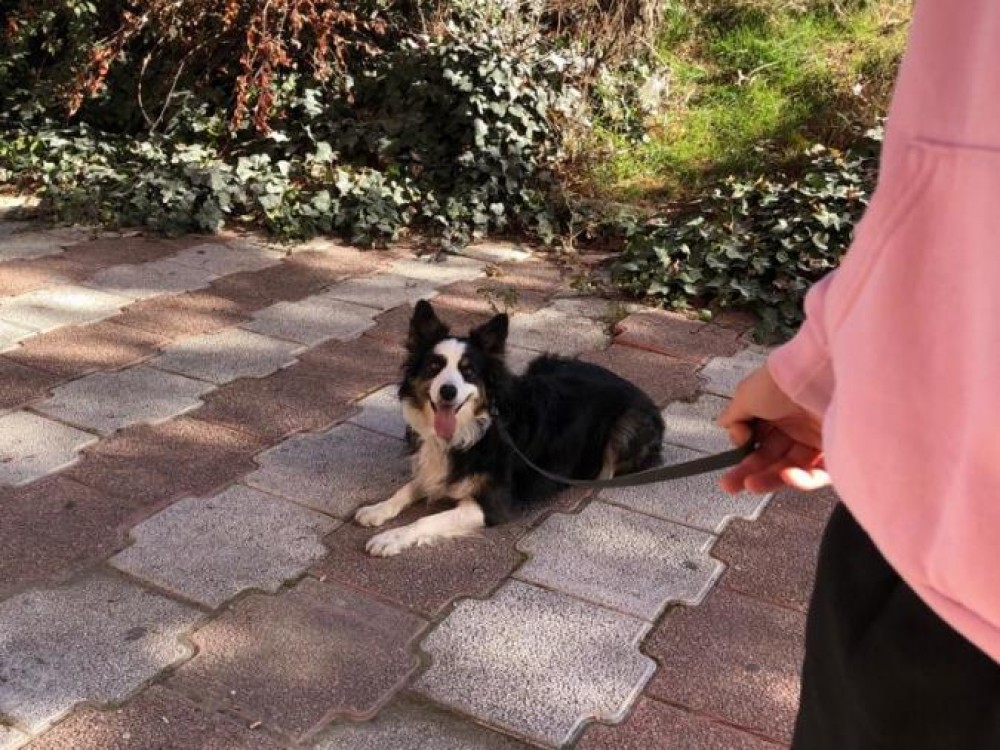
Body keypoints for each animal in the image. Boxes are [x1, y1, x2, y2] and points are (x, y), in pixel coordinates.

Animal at [354, 299, 665, 556]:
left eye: (469, 371)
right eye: (434, 366)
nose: (447, 392)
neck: (475, 429)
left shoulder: (491, 505)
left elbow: (425, 520)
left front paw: (391, 538)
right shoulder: (437, 467)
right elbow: (409, 488)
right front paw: (377, 509)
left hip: (628, 425)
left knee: (608, 469)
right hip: (544, 362)